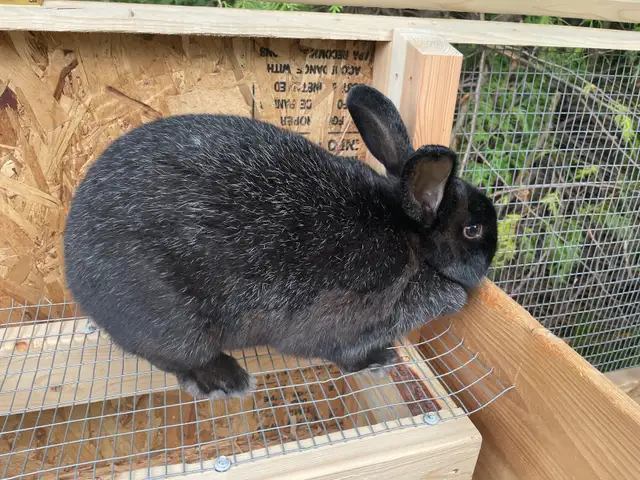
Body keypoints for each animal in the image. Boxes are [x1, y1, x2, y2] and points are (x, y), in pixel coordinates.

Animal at [63, 84, 498, 400]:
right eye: (472, 230)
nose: (490, 256)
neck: (411, 239)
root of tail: (73, 265)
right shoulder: (352, 322)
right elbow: (346, 355)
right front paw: (380, 359)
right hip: (171, 318)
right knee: (179, 357)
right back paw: (227, 381)